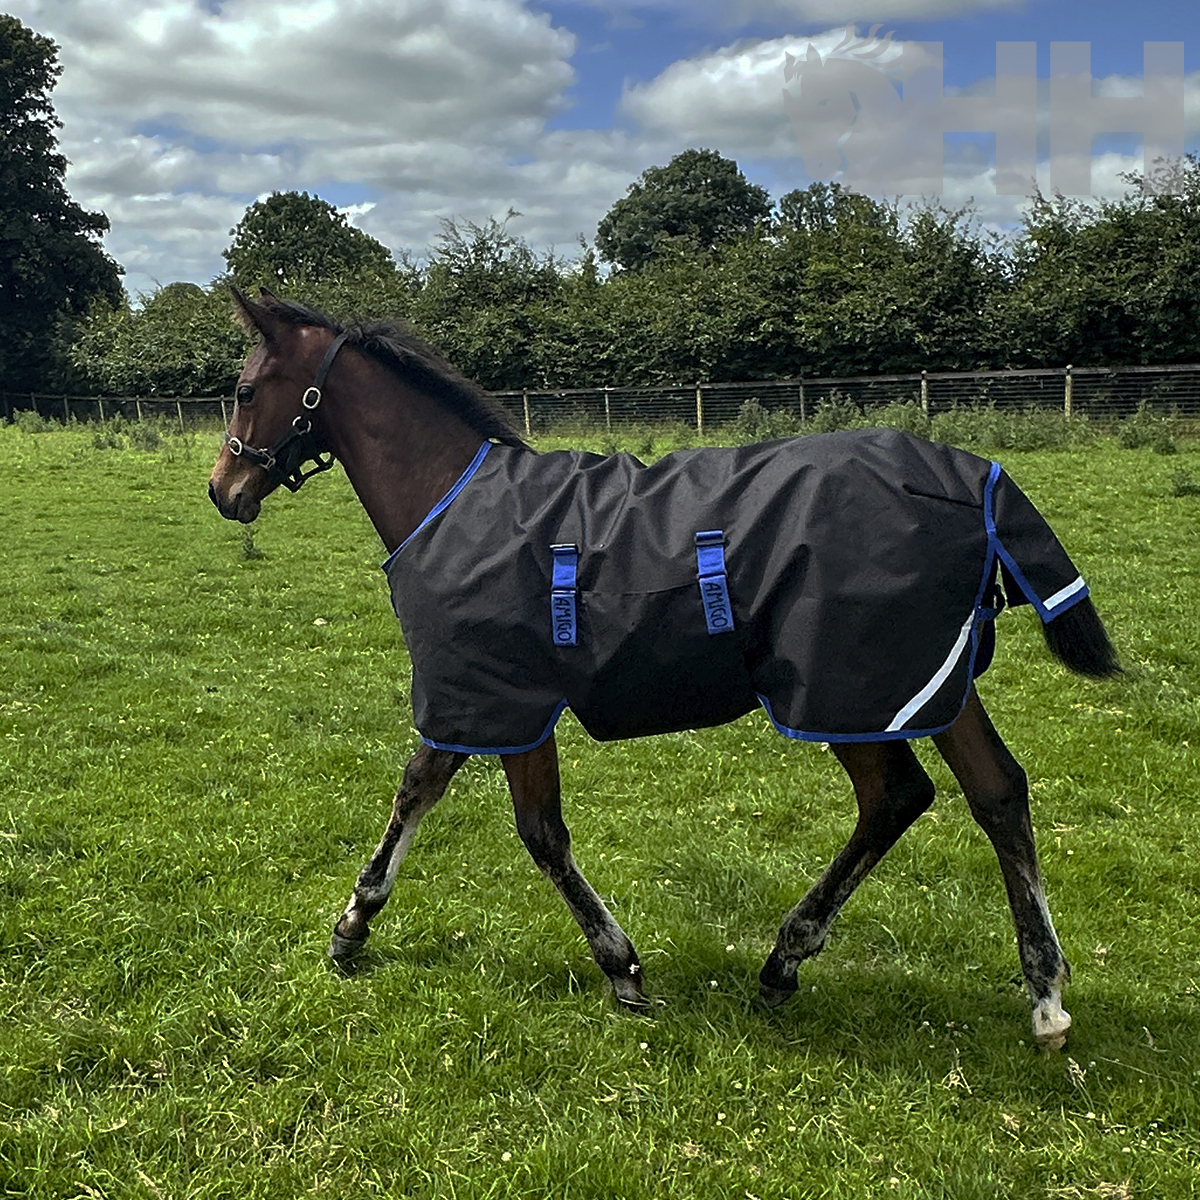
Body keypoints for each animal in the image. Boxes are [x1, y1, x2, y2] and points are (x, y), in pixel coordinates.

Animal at [208, 288, 1119, 1050]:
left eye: (247, 389)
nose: (223, 489)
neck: (452, 500)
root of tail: (973, 477)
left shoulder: (497, 697)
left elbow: (517, 825)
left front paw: (619, 967)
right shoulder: (489, 700)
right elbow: (443, 796)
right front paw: (356, 925)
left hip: (842, 691)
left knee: (897, 795)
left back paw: (788, 960)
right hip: (924, 684)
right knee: (997, 792)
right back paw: (1043, 995)